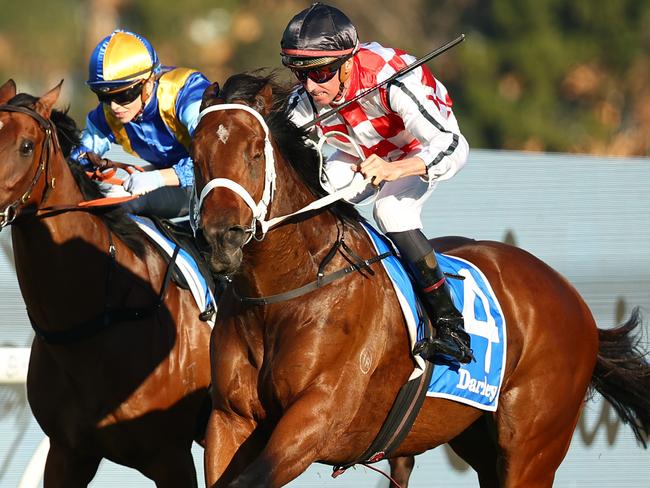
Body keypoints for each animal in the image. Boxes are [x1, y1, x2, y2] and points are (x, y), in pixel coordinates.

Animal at [191, 73, 648, 488]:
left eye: (255, 153)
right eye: (195, 156)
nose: (221, 236)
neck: (284, 292)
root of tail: (574, 299)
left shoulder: (315, 419)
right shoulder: (231, 419)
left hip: (532, 450)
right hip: (479, 445)